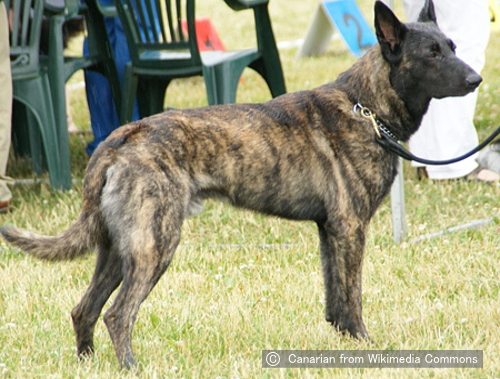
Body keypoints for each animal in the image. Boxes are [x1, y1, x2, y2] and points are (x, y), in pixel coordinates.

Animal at [0, 0, 484, 368]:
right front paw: (365, 346)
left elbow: (335, 301)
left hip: (119, 250)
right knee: (118, 314)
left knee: (84, 310)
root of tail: (121, 137)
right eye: (432, 54)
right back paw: (130, 368)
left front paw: (341, 343)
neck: (365, 106)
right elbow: (353, 298)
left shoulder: (330, 232)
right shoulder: (350, 229)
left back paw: (89, 364)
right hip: (154, 246)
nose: (476, 78)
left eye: (453, 46)